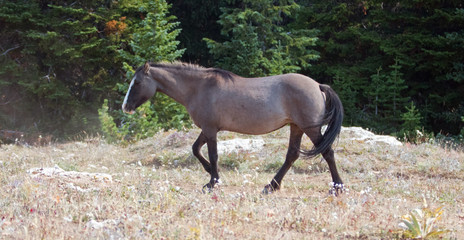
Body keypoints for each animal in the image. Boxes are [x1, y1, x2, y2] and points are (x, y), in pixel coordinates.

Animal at [122, 62, 344, 195]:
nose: (125, 107)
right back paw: (271, 186)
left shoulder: (210, 129)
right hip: (296, 127)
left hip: (310, 128)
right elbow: (196, 149)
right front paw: (211, 174)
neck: (200, 88)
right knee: (292, 156)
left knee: (327, 152)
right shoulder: (208, 129)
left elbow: (212, 155)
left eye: (137, 82)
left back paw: (338, 187)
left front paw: (213, 182)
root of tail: (318, 85)